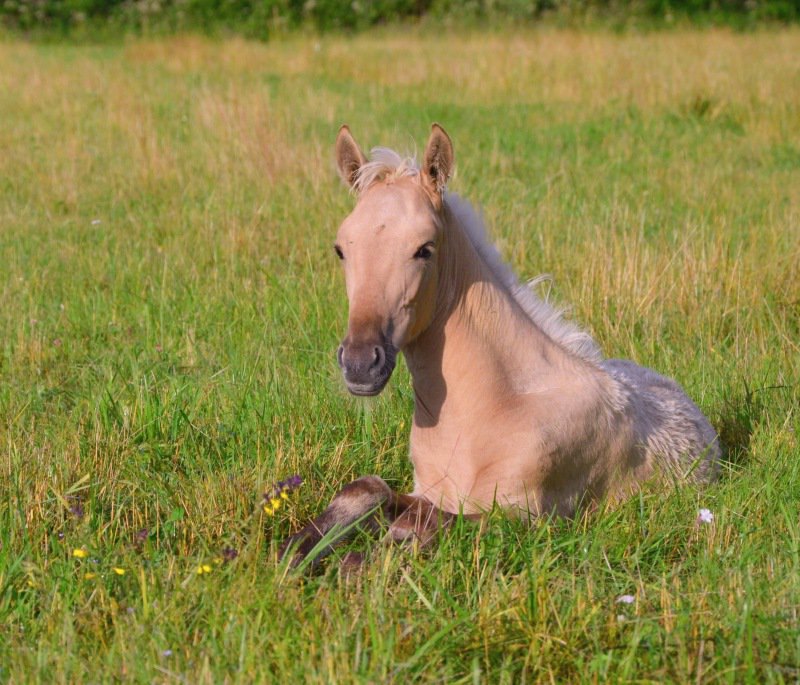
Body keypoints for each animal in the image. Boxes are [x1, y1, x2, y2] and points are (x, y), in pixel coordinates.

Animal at [284, 125, 720, 564]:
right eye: (341, 249)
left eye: (425, 249)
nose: (360, 364)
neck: (490, 410)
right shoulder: (427, 490)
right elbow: (368, 489)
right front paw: (291, 552)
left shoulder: (525, 518)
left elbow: (417, 527)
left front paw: (351, 564)